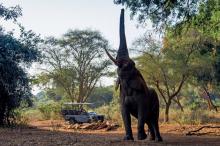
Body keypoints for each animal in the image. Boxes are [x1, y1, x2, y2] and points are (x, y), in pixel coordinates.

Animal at [104, 8, 162, 141]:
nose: (122, 8)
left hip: (156, 100)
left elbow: (141, 111)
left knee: (154, 119)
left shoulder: (142, 97)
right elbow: (124, 113)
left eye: (130, 64)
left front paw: (140, 138)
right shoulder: (122, 96)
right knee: (149, 120)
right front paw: (127, 138)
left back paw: (157, 140)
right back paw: (150, 139)